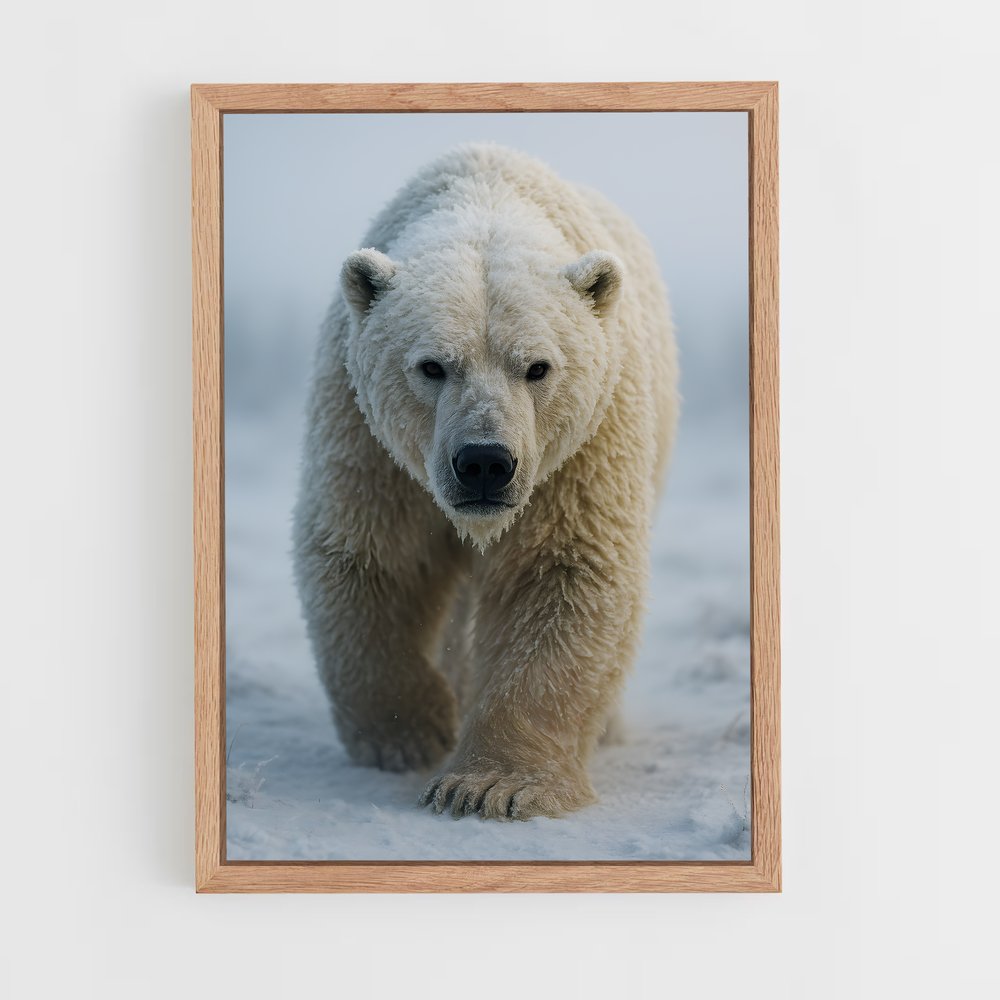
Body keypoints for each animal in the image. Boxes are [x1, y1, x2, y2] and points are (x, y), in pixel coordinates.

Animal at [293, 142, 679, 820]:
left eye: (538, 367)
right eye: (432, 366)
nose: (484, 463)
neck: (486, 197)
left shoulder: (580, 451)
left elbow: (561, 572)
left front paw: (489, 786)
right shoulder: (372, 444)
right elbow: (374, 555)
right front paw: (411, 732)